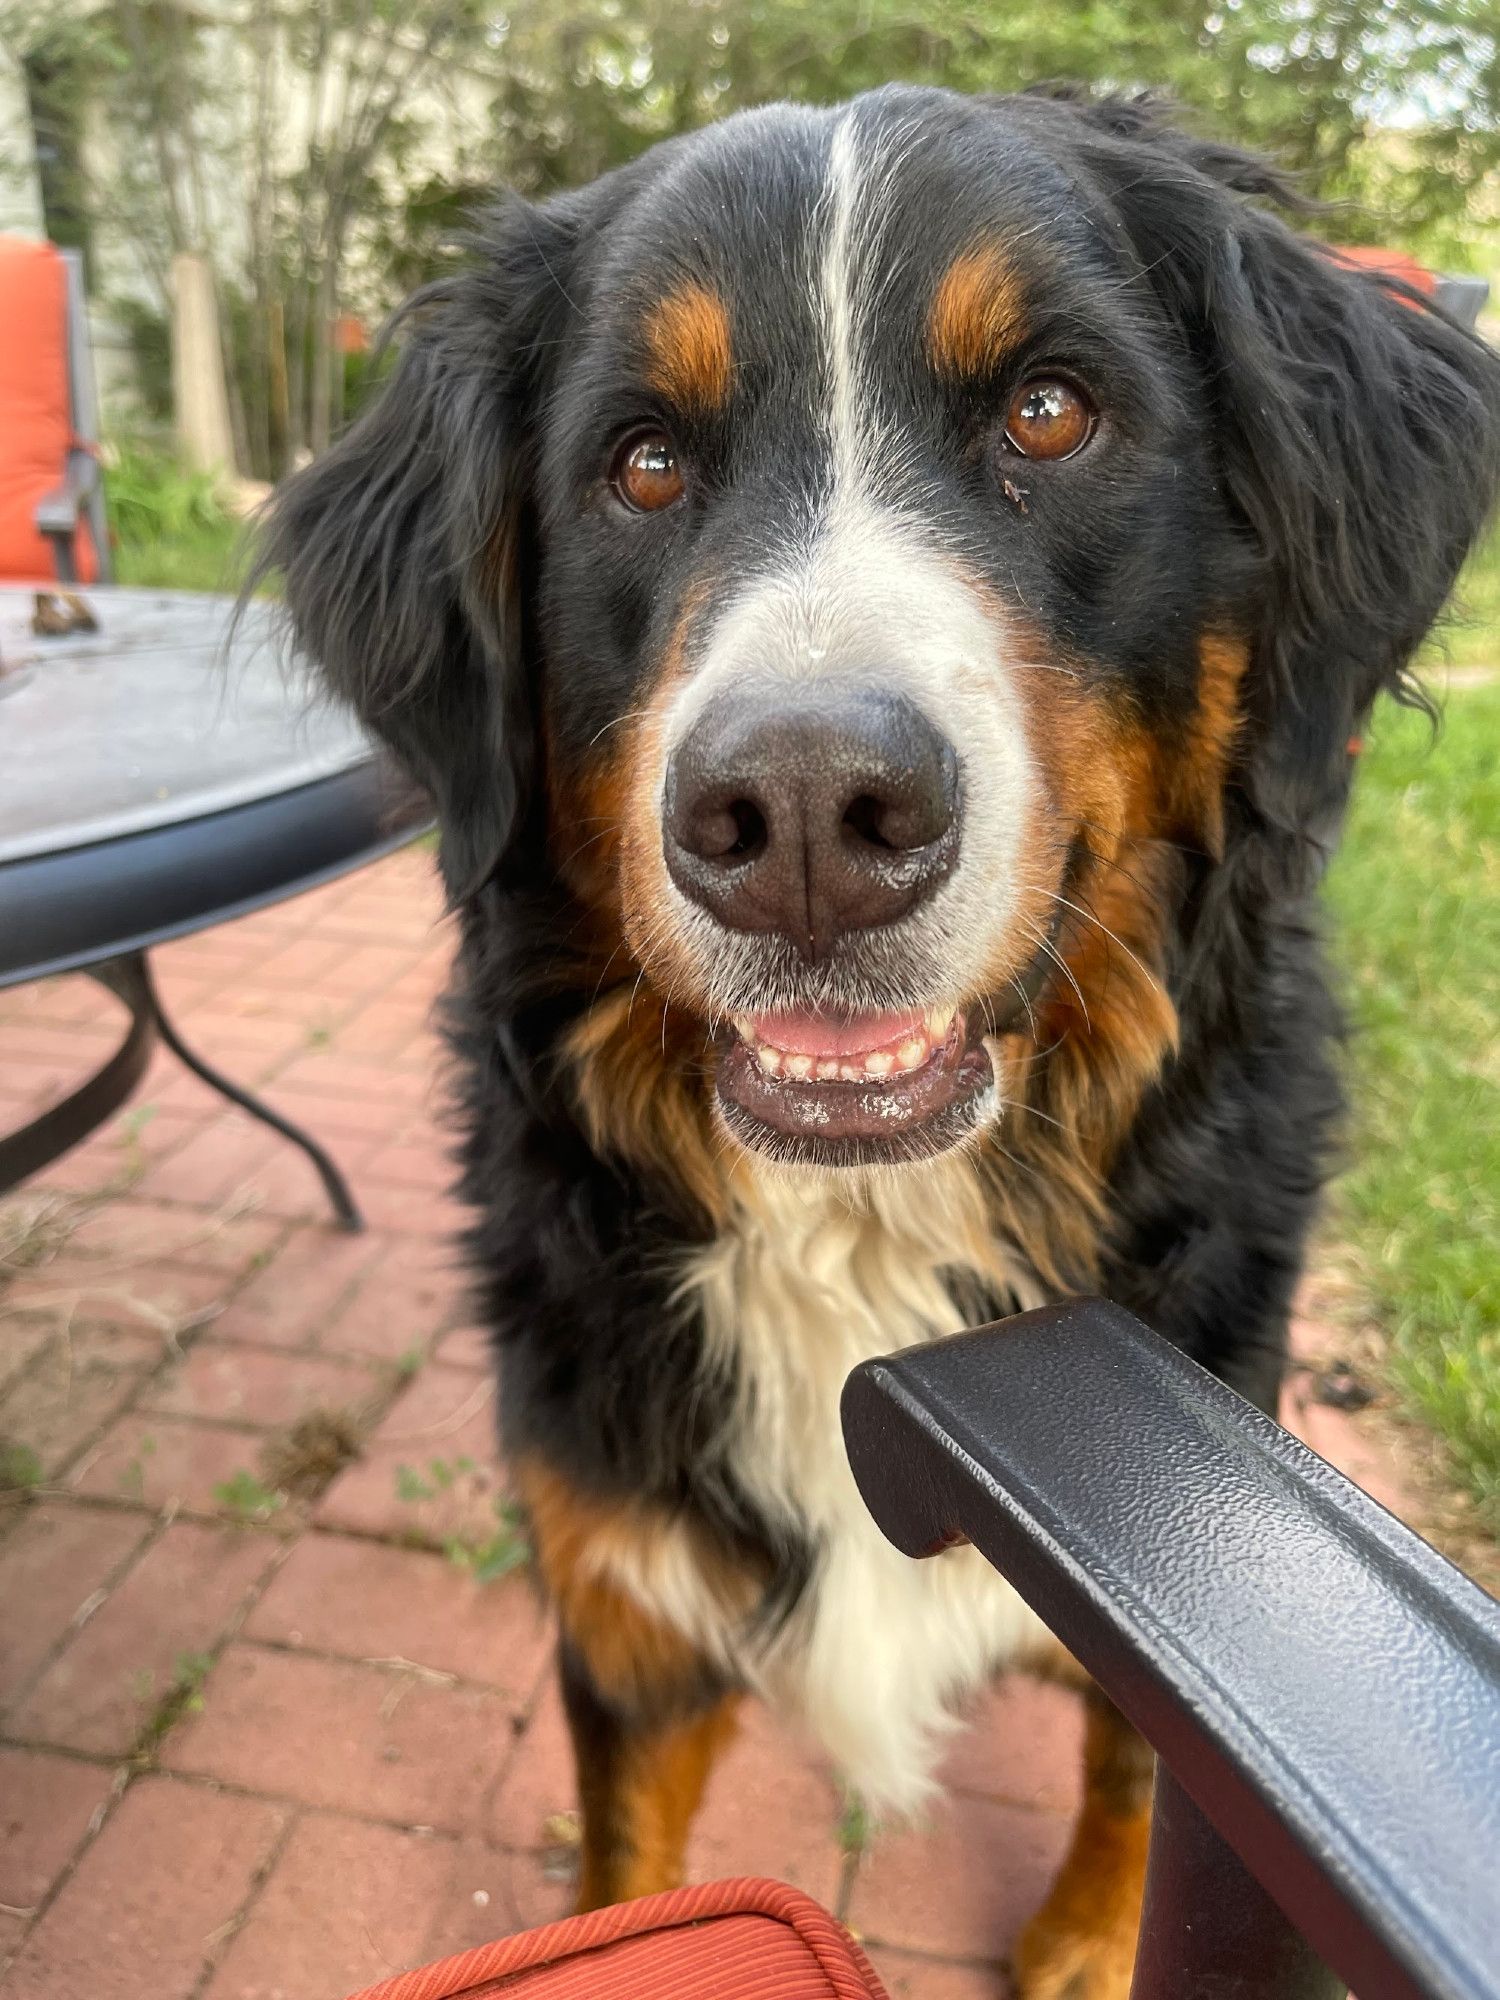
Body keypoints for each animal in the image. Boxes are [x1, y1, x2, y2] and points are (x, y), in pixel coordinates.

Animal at [262, 86, 1500, 1992]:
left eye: (1051, 413)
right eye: (641, 465)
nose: (803, 817)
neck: (865, 1249)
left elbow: (1140, 1776)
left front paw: (1086, 1938)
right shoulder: (624, 1607)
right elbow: (625, 1864)